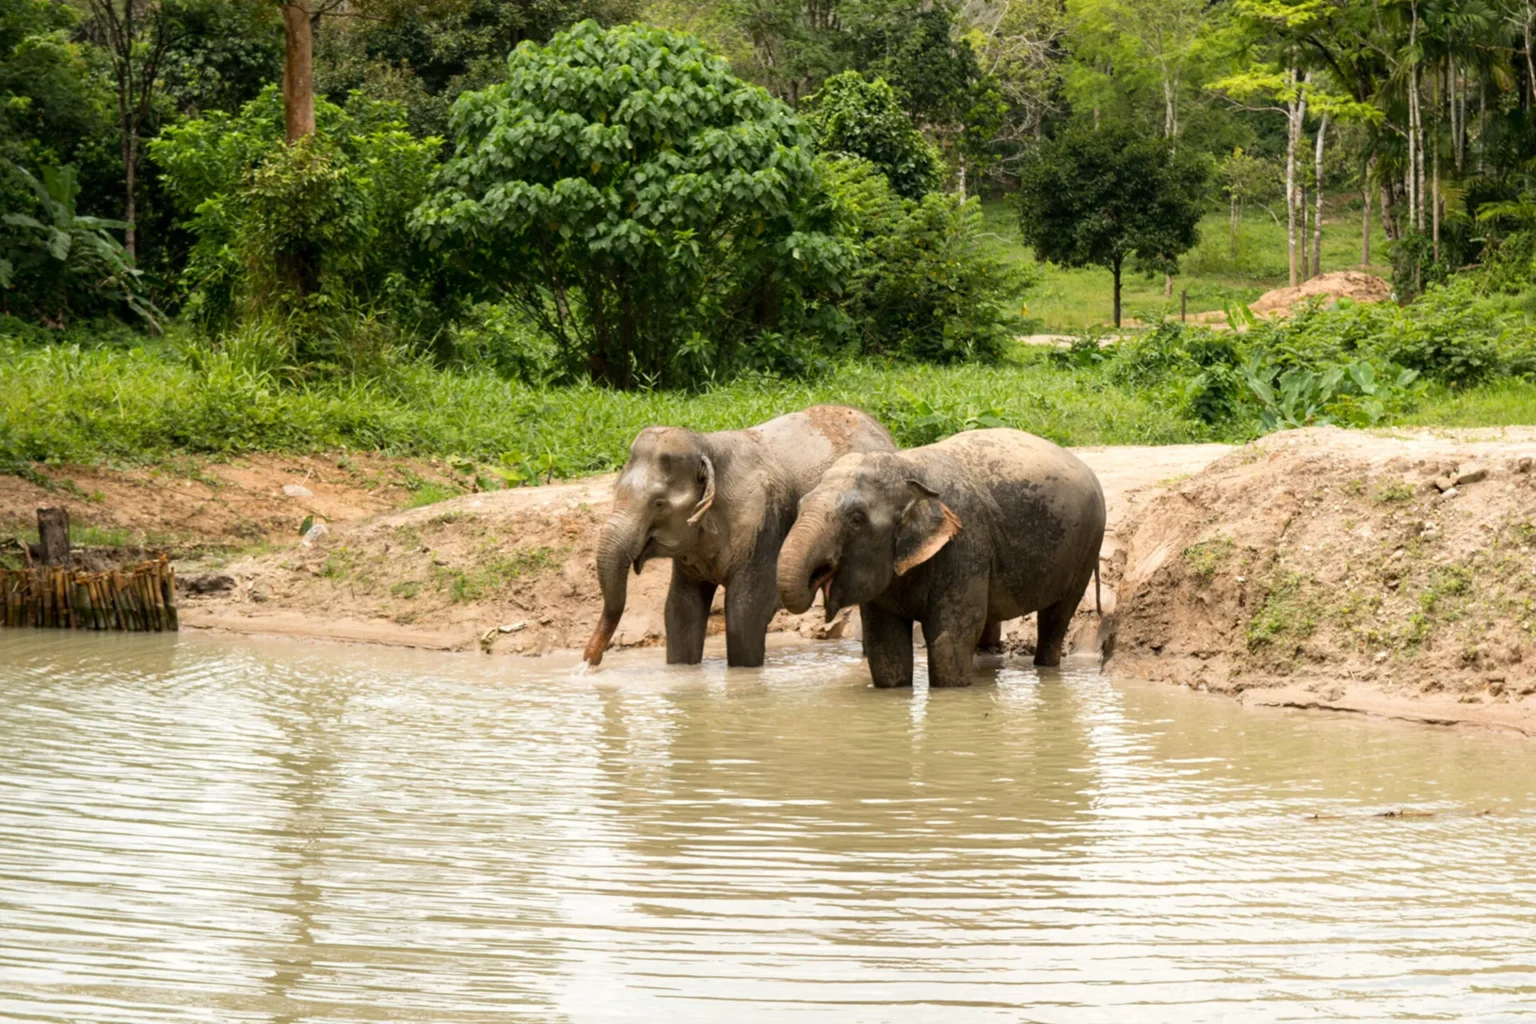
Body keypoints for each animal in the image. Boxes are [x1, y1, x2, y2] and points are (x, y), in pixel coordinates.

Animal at [583, 406, 896, 668]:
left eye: (658, 503)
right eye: (616, 491)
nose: (589, 662)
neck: (708, 445)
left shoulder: (762, 526)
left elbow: (744, 612)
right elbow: (680, 610)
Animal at [776, 428, 1105, 688]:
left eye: (856, 519)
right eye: (800, 505)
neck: (909, 467)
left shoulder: (964, 544)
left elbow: (952, 635)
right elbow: (885, 642)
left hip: (1088, 544)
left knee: (1056, 617)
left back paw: (1045, 666)